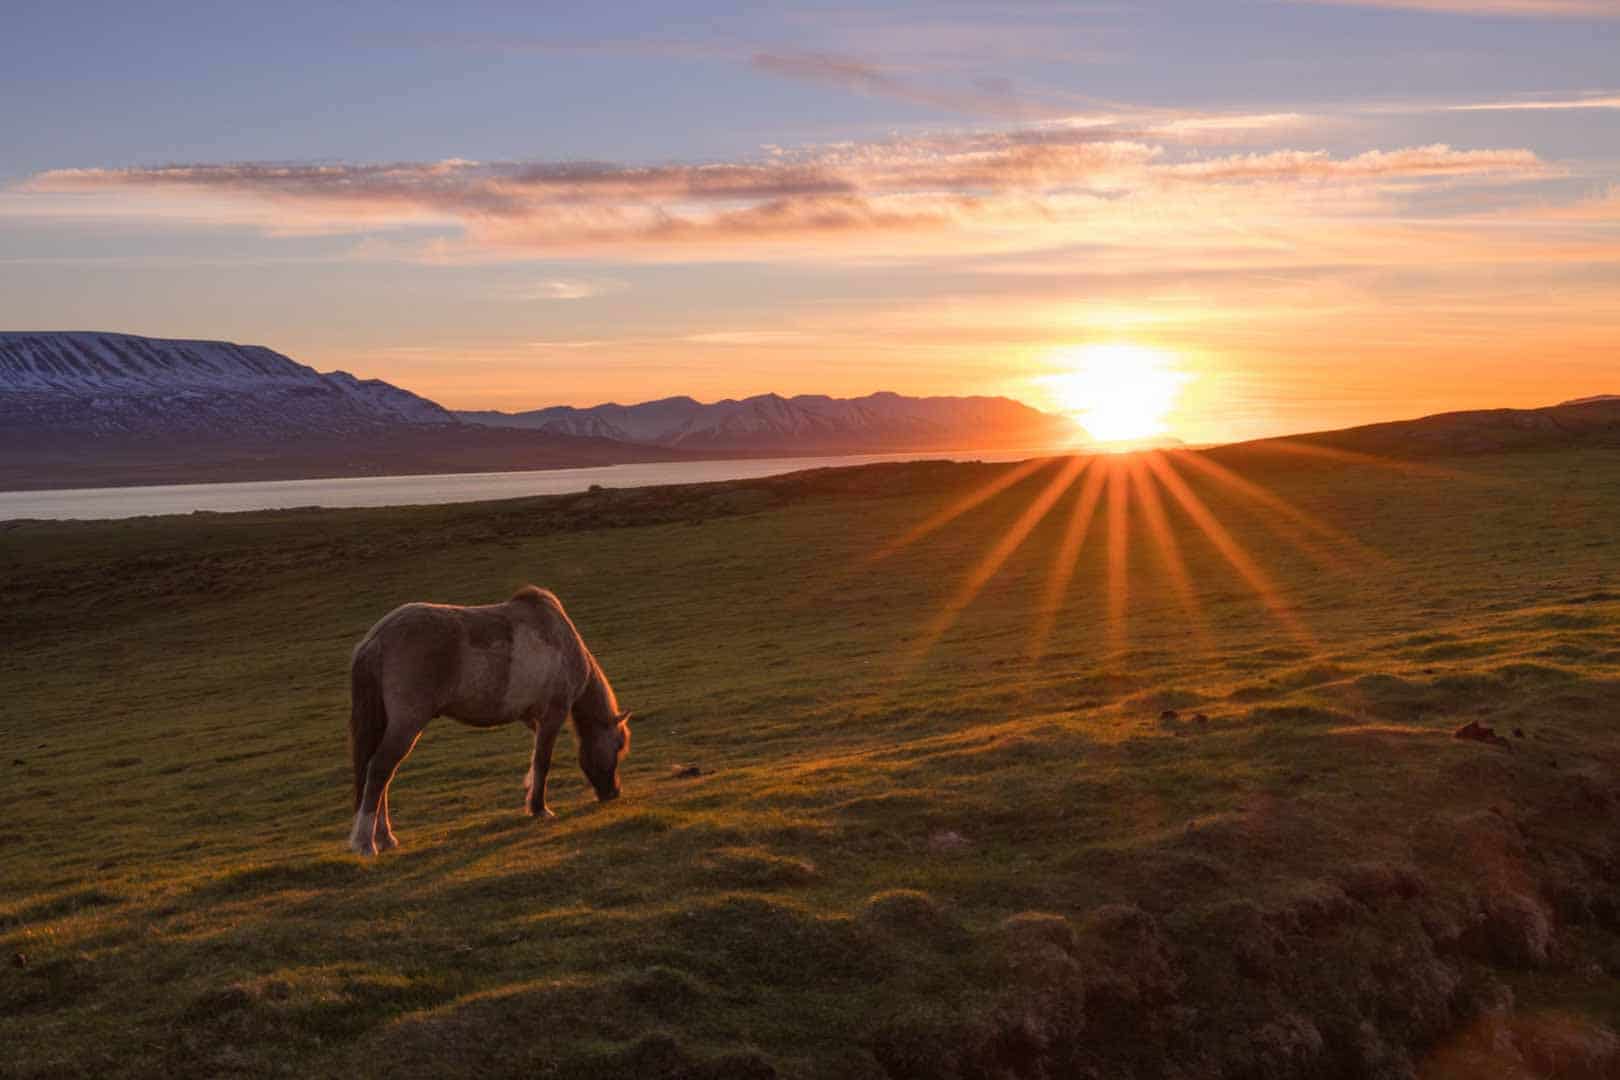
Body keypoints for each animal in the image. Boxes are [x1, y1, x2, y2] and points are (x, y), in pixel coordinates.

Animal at [348, 586, 631, 854]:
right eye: (618, 746)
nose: (613, 793)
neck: (561, 640)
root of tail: (378, 638)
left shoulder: (533, 719)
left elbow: (534, 760)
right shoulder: (554, 714)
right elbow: (543, 762)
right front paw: (540, 808)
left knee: (382, 776)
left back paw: (385, 838)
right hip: (407, 724)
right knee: (380, 770)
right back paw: (366, 843)